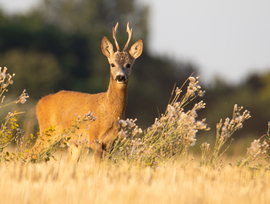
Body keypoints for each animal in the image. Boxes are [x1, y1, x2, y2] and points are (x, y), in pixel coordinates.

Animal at [26, 22, 143, 164]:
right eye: (112, 64)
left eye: (128, 65)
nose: (120, 77)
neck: (110, 112)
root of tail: (39, 103)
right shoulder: (94, 138)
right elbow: (97, 165)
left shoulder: (111, 143)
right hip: (48, 132)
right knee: (30, 154)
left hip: (74, 143)